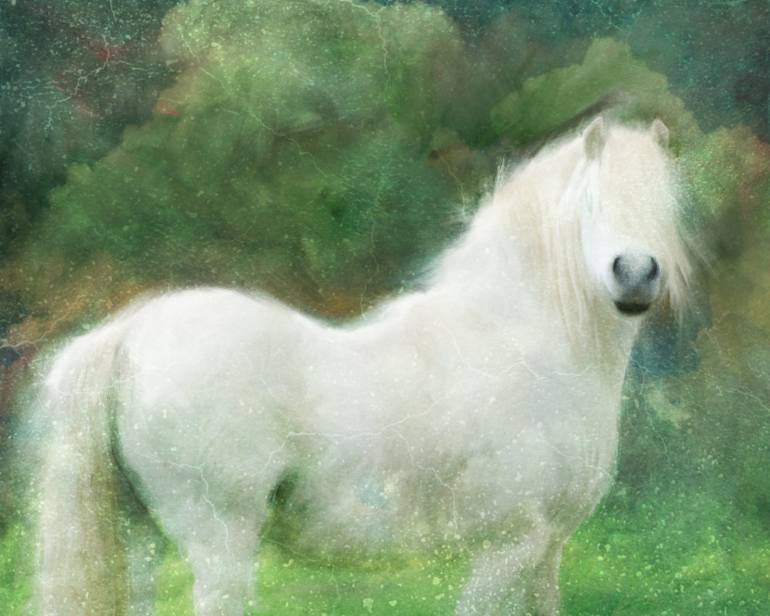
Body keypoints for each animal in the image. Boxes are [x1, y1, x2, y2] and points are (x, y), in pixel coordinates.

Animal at [35, 116, 692, 615]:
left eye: (666, 205)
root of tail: (128, 334)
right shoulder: (507, 546)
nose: (635, 274)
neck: (520, 340)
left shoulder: (546, 550)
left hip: (140, 536)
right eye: (590, 202)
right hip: (220, 541)